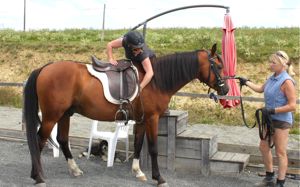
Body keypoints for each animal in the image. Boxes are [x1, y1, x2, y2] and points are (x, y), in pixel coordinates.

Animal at [24, 43, 229, 186]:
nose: (226, 89)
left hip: (65, 114)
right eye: (218, 66)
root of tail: (45, 68)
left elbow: (138, 145)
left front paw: (138, 171)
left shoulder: (141, 120)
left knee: (62, 139)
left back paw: (74, 170)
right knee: (39, 140)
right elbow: (153, 148)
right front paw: (159, 178)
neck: (155, 80)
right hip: (51, 116)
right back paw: (38, 176)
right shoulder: (153, 119)